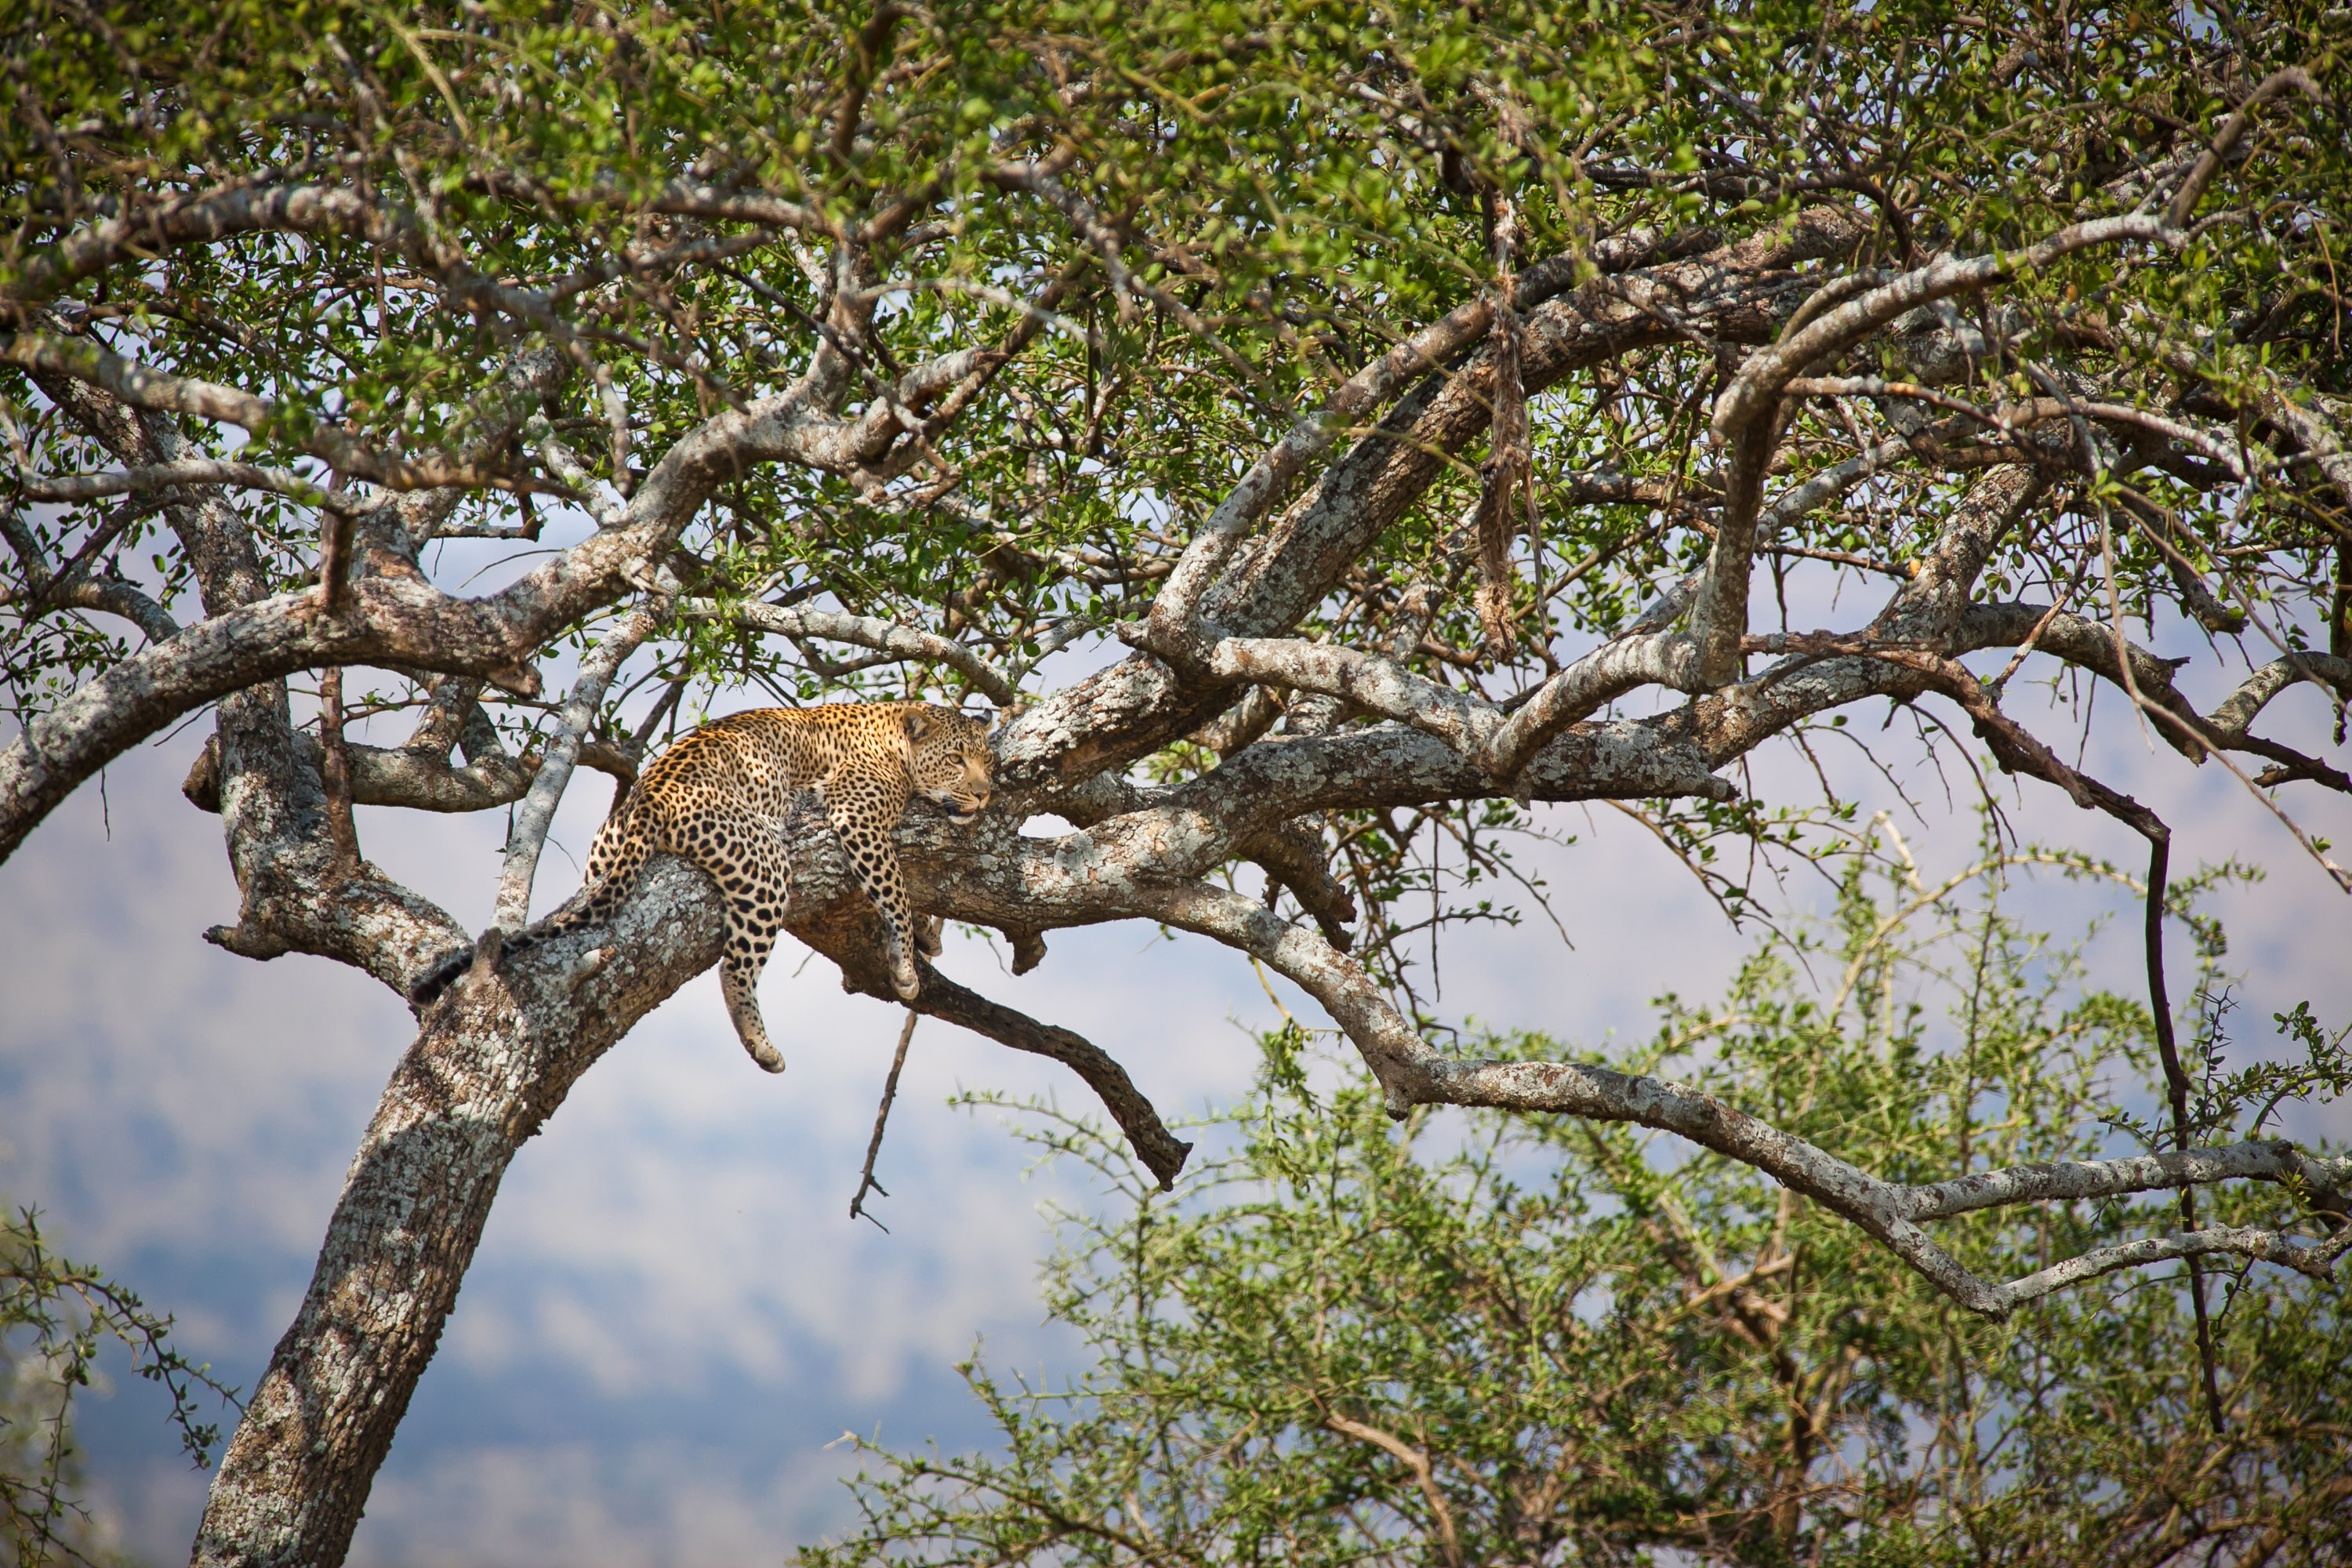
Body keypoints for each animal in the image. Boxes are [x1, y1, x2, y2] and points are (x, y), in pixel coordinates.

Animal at [410, 702, 995, 1072]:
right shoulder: (860, 815)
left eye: (987, 759)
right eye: (957, 759)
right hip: (765, 859)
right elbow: (893, 888)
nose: (987, 793)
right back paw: (761, 1046)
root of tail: (651, 795)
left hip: (607, 856)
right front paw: (905, 964)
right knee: (735, 967)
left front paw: (928, 935)